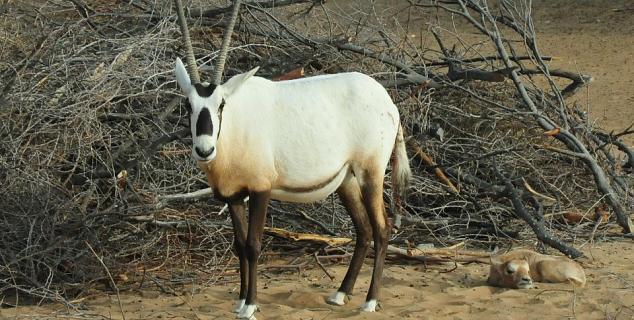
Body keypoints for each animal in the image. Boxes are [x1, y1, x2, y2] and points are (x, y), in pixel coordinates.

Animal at [173, 58, 410, 318]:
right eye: (188, 104)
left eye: (221, 104)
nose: (204, 150)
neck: (234, 124)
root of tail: (389, 103)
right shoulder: (233, 196)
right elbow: (240, 245)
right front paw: (240, 301)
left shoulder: (260, 190)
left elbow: (253, 245)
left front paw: (250, 306)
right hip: (346, 181)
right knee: (364, 230)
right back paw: (340, 294)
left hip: (370, 174)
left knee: (382, 229)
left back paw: (370, 301)